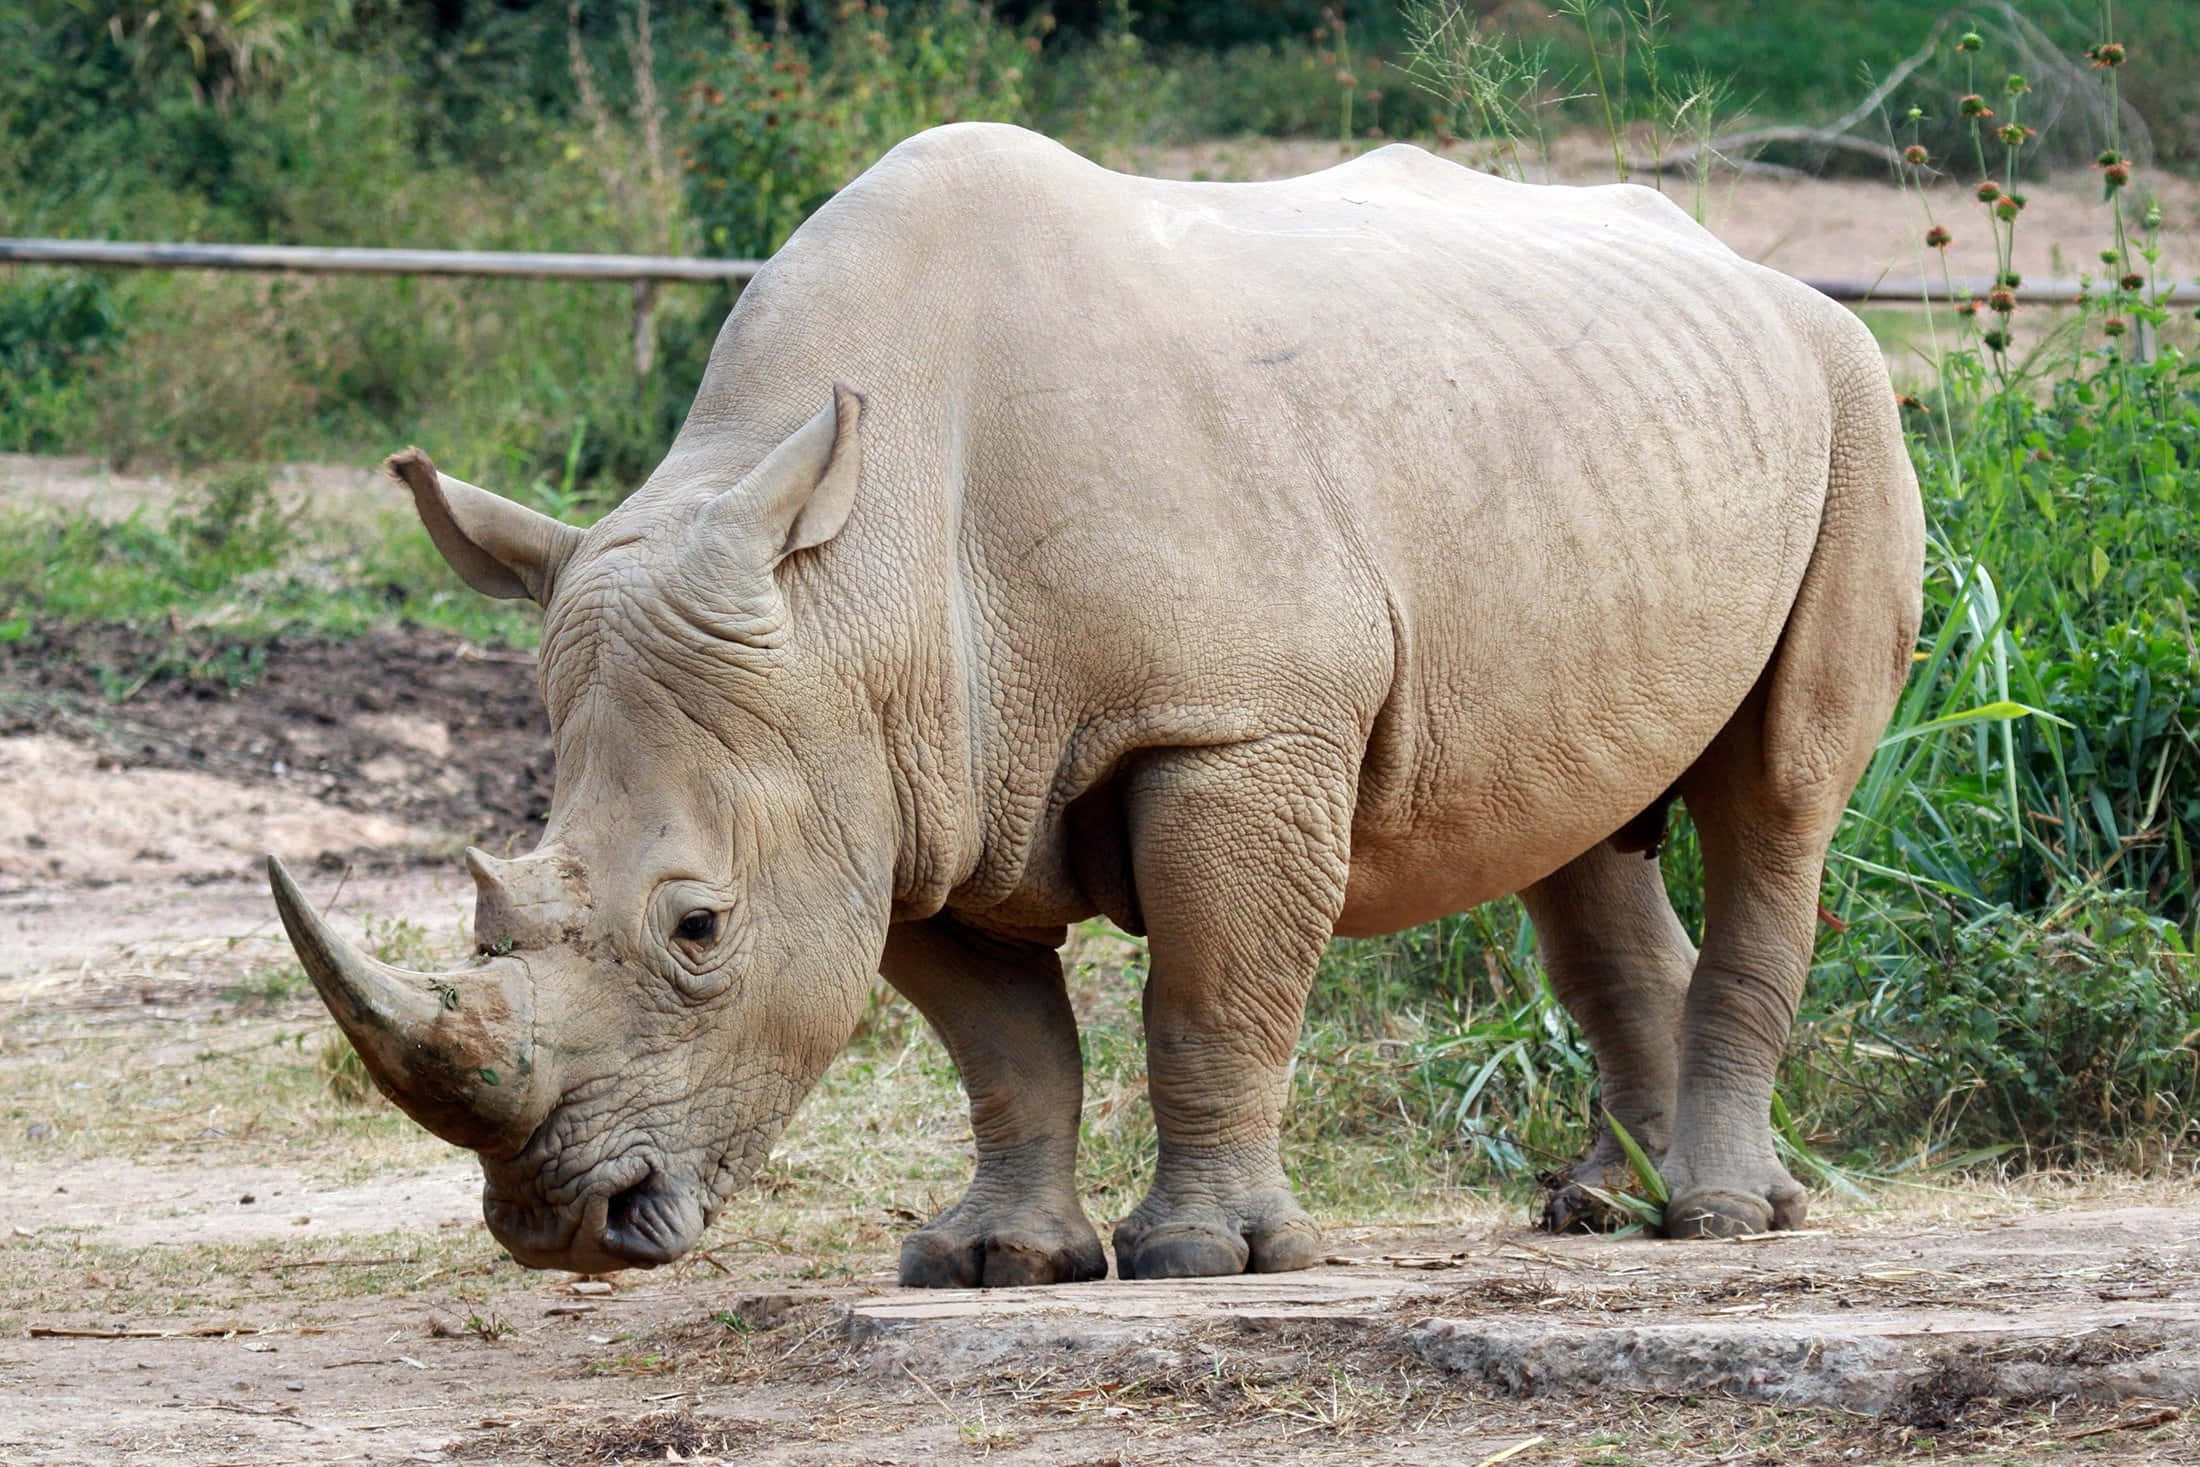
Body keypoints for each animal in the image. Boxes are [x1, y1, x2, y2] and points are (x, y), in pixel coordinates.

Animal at [267, 123, 1922, 1285]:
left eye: (698, 927)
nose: (563, 1222)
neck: (855, 590)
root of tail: (1760, 276)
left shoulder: (1235, 728)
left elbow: (1210, 992)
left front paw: (1210, 1257)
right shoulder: (899, 784)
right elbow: (1006, 1046)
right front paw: (997, 1258)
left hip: (1854, 394)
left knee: (1779, 793)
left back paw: (1718, 1218)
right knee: (1577, 835)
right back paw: (1601, 1208)